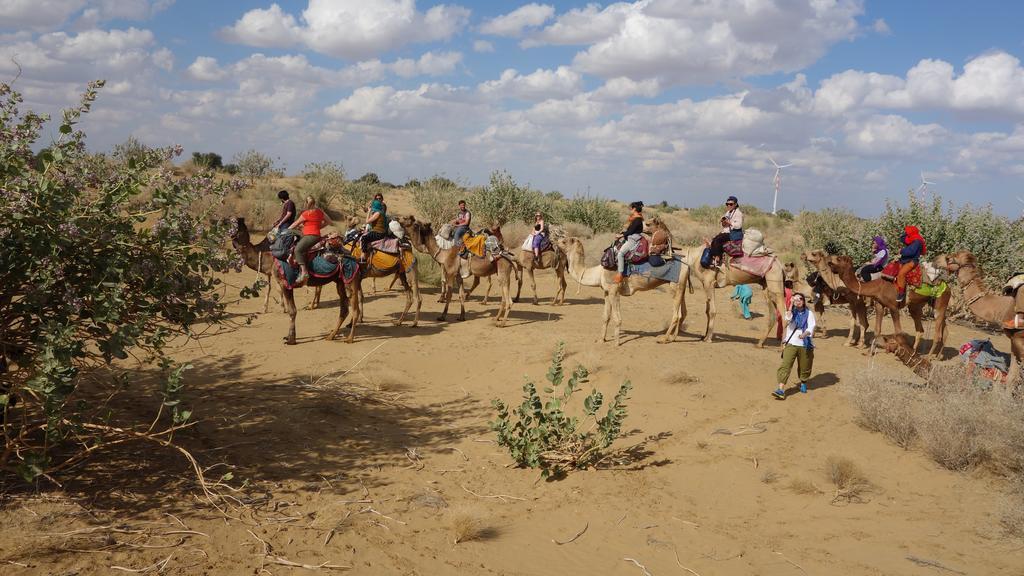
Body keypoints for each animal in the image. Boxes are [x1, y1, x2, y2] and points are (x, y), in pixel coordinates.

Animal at [232, 218, 360, 344]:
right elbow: (289, 307)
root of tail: (355, 259)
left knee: (355, 309)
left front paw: (291, 339)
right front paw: (289, 336)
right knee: (344, 309)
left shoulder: (285, 283)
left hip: (351, 277)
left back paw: (350, 338)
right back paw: (331, 336)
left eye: (236, 228)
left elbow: (292, 311)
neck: (269, 260)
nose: (235, 267)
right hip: (340, 281)